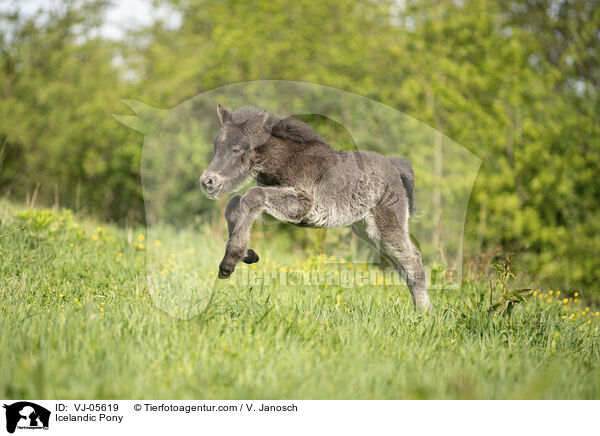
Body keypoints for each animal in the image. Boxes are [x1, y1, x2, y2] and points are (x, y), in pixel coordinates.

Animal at [202, 104, 432, 310]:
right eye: (216, 146)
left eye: (236, 149)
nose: (207, 182)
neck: (287, 159)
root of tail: (394, 166)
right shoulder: (274, 211)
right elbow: (236, 202)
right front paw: (247, 254)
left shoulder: (302, 205)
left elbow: (251, 196)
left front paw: (230, 261)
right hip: (366, 230)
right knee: (400, 263)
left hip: (387, 226)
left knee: (412, 260)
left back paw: (425, 313)